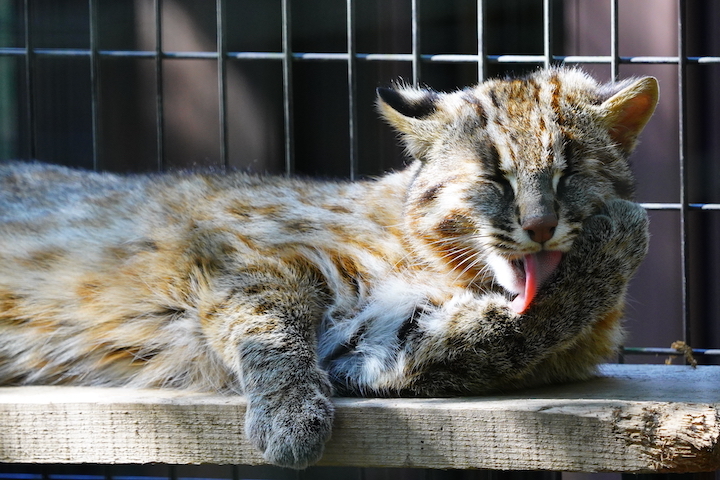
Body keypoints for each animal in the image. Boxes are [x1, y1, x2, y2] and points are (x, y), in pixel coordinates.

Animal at [0, 67, 660, 468]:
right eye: (492, 179)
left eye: (570, 174)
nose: (542, 227)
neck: (445, 266)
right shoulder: (233, 249)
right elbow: (269, 325)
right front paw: (289, 417)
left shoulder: (370, 346)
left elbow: (497, 336)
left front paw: (617, 244)